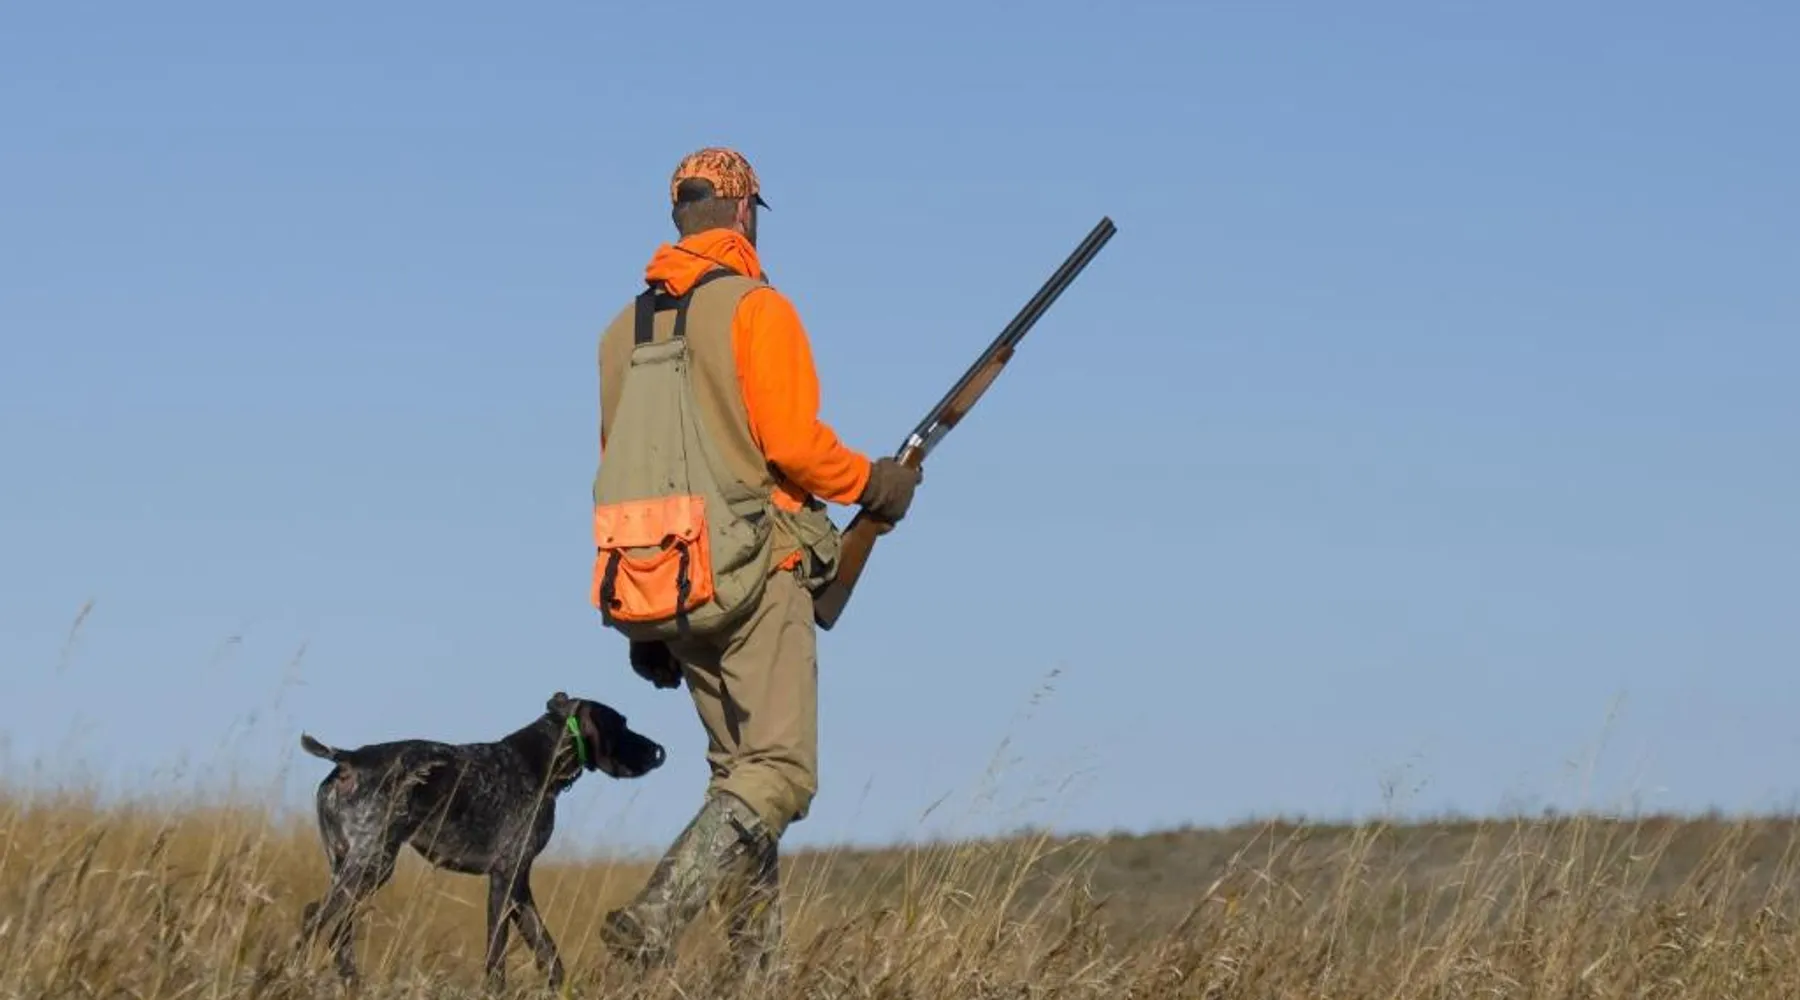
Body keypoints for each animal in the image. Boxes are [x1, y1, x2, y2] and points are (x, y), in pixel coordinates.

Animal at [295, 691, 665, 989]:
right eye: (622, 725)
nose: (658, 751)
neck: (539, 762)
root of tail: (348, 758)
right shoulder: (504, 877)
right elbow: (496, 953)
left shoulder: (520, 883)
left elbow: (547, 951)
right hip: (372, 863)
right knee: (316, 917)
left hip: (352, 865)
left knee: (339, 931)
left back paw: (350, 981)